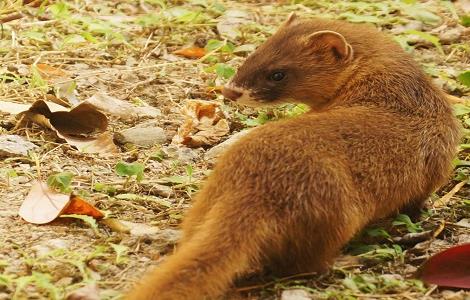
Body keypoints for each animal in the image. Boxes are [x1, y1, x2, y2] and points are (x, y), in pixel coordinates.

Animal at [126, 13, 460, 298]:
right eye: (255, 53)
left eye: (278, 73)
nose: (229, 91)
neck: (401, 94)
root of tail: (251, 188)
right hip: (337, 215)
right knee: (305, 264)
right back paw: (347, 261)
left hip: (204, 202)